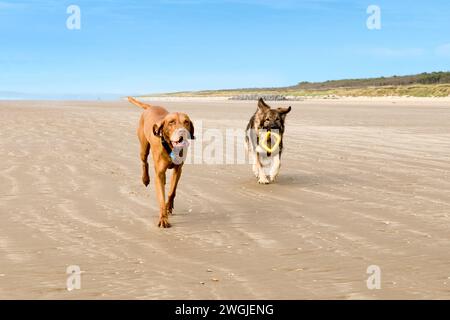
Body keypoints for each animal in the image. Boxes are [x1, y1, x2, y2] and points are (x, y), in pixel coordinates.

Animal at [128, 96, 195, 229]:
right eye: (171, 122)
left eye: (186, 122)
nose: (182, 133)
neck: (170, 147)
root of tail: (150, 107)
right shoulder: (159, 173)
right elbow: (161, 198)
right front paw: (163, 219)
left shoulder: (178, 169)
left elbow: (172, 191)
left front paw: (169, 206)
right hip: (143, 148)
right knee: (145, 162)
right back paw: (145, 179)